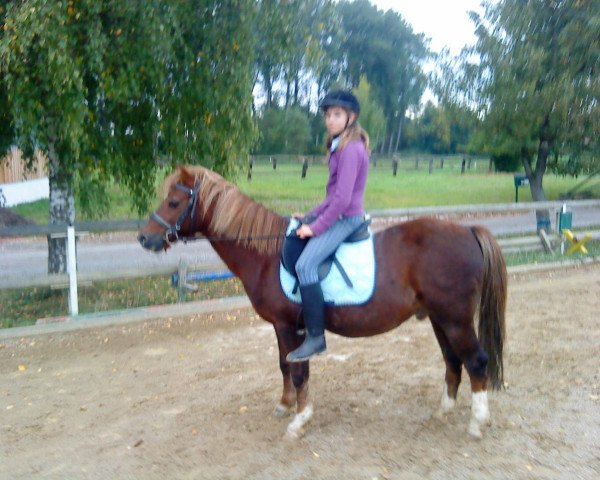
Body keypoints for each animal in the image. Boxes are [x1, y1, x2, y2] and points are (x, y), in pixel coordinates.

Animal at [139, 165, 506, 438]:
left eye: (174, 202)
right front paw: (285, 405)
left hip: (455, 320)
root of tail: (468, 230)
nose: (144, 237)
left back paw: (477, 423)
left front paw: (300, 420)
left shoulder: (291, 327)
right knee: (452, 361)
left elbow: (299, 371)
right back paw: (442, 412)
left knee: (476, 361)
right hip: (439, 318)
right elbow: (285, 365)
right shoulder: (282, 327)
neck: (267, 253)